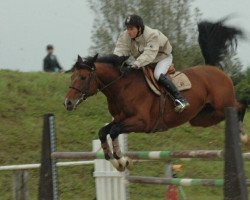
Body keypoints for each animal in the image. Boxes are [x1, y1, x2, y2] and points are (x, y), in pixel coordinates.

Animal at [64, 19, 248, 171]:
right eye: (72, 76)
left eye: (83, 77)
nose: (68, 103)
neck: (122, 87)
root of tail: (215, 69)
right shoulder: (120, 118)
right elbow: (104, 132)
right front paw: (119, 162)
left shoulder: (141, 122)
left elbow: (115, 131)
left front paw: (122, 160)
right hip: (201, 118)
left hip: (223, 104)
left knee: (240, 105)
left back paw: (243, 136)